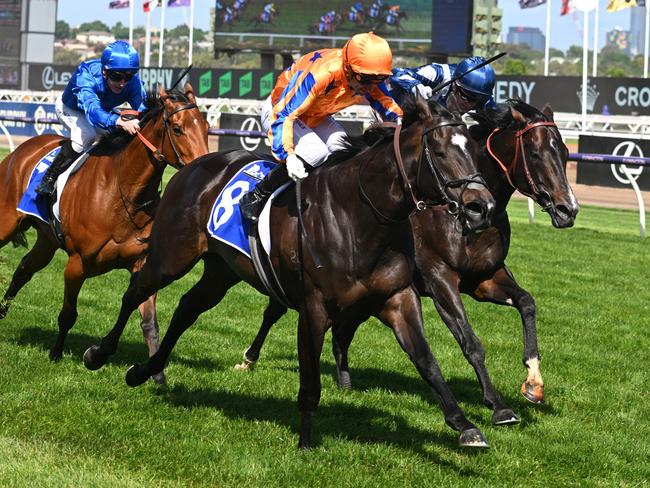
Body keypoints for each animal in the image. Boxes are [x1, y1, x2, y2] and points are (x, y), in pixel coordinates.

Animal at [0, 85, 208, 366]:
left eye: (207, 127)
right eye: (177, 128)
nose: (206, 166)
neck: (122, 194)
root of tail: (23, 149)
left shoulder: (141, 264)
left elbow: (149, 322)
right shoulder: (77, 264)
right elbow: (68, 315)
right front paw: (56, 354)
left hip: (47, 240)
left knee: (23, 269)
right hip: (7, 222)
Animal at [83, 99, 494, 450]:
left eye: (473, 150)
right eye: (439, 152)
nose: (482, 208)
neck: (359, 216)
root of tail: (192, 165)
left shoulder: (397, 298)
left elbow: (427, 360)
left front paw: (465, 424)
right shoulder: (313, 307)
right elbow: (309, 380)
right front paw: (306, 442)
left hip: (221, 270)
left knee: (187, 307)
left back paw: (144, 371)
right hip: (172, 256)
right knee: (136, 292)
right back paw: (100, 354)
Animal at [234, 100, 576, 428]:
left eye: (565, 153)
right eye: (535, 153)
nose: (568, 209)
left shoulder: (484, 277)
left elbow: (526, 302)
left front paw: (533, 383)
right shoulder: (440, 279)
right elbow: (470, 341)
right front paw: (499, 406)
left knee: (341, 330)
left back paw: (343, 380)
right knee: (277, 309)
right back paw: (249, 358)